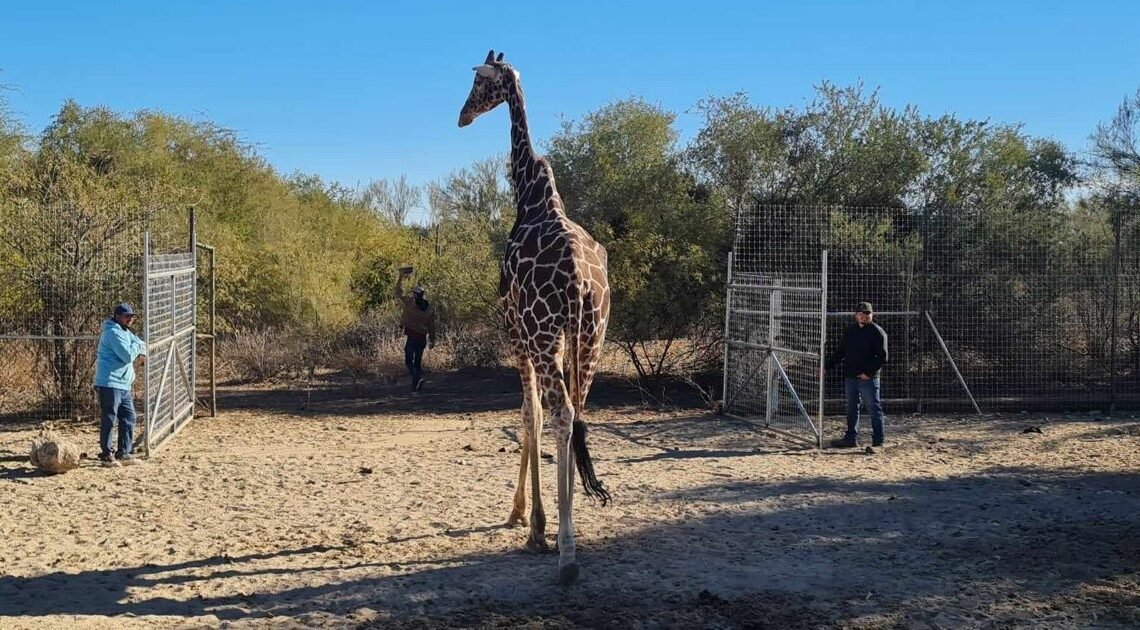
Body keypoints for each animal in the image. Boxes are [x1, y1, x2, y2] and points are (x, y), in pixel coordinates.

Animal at [459, 50, 611, 585]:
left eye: (478, 83)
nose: (462, 116)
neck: (528, 197)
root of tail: (581, 282)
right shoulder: (556, 338)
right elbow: (541, 416)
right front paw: (536, 518)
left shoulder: (516, 333)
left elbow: (530, 413)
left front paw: (528, 520)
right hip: (591, 336)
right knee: (578, 413)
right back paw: (571, 538)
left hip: (546, 336)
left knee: (561, 412)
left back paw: (565, 554)